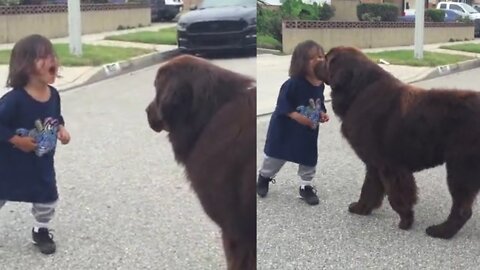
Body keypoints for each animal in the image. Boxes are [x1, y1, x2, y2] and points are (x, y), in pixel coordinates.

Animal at [316, 46, 480, 238]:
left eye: (326, 59)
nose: (313, 62)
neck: (360, 91)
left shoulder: (389, 165)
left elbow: (397, 197)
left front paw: (406, 220)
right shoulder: (374, 163)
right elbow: (369, 188)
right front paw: (361, 208)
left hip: (460, 167)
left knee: (462, 209)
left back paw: (441, 231)